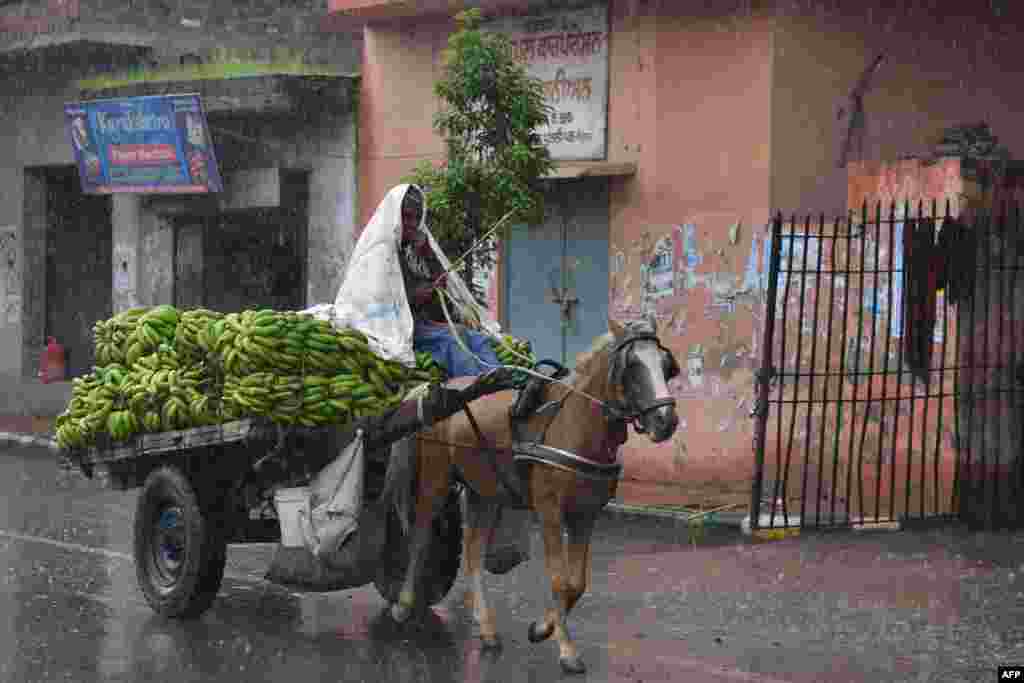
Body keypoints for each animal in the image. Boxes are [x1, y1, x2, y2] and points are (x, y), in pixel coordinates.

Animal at [387, 317, 675, 675]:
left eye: (665, 365)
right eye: (632, 366)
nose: (666, 421)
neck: (576, 422)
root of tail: (439, 389)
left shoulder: (585, 515)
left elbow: (577, 583)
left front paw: (541, 629)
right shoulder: (550, 511)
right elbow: (559, 580)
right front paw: (566, 651)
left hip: (485, 492)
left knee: (473, 553)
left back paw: (487, 629)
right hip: (436, 477)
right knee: (420, 536)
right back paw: (403, 605)